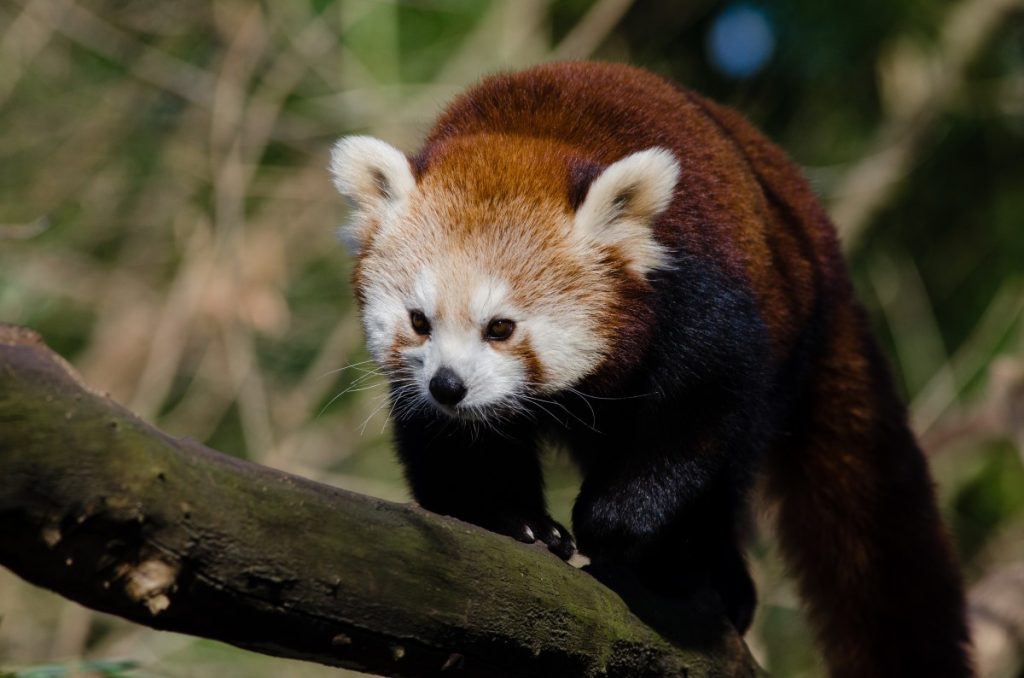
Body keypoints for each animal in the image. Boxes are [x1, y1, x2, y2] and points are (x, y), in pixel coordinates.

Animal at [329, 61, 974, 675]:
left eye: (500, 327)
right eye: (419, 321)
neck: (525, 134)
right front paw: (516, 520)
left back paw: (704, 570)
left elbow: (698, 415)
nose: (449, 387)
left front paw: (611, 523)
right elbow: (455, 454)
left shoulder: (706, 300)